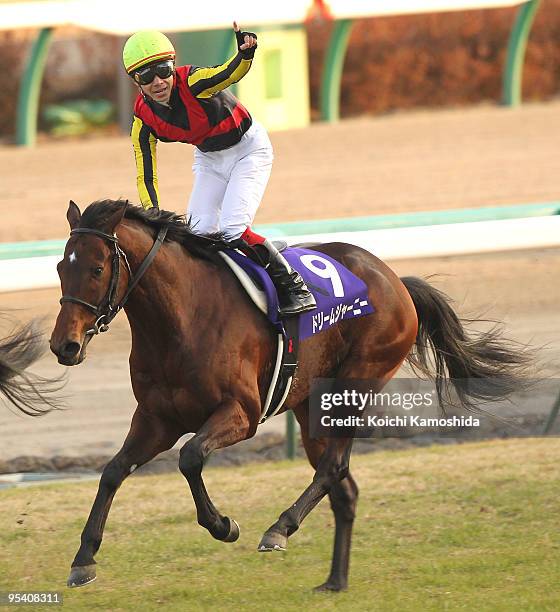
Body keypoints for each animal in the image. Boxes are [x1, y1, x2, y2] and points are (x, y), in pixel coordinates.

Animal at [49, 201, 528, 592]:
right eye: (59, 267)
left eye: (96, 269)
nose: (64, 346)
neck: (183, 317)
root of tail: (395, 279)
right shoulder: (156, 419)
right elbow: (113, 472)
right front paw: (83, 559)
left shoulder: (241, 414)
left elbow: (190, 457)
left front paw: (223, 525)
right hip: (312, 406)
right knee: (343, 486)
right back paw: (334, 581)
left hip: (356, 383)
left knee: (335, 468)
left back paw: (280, 527)